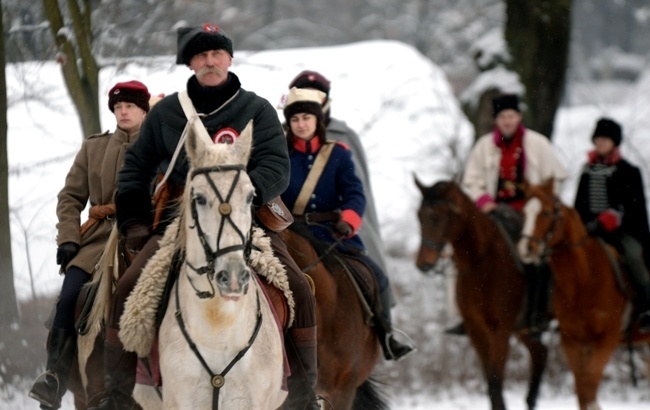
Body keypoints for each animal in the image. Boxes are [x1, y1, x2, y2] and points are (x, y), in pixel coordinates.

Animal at [416, 179, 548, 410]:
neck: (482, 264)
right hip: (523, 330)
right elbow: (491, 383)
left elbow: (495, 382)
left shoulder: (500, 331)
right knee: (540, 354)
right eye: (419, 215)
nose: (424, 263)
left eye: (438, 216)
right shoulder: (477, 331)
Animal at [516, 179, 648, 410]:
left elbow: (590, 385)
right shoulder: (573, 341)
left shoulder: (607, 339)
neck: (584, 280)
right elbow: (582, 390)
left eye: (547, 213)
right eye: (524, 212)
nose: (526, 248)